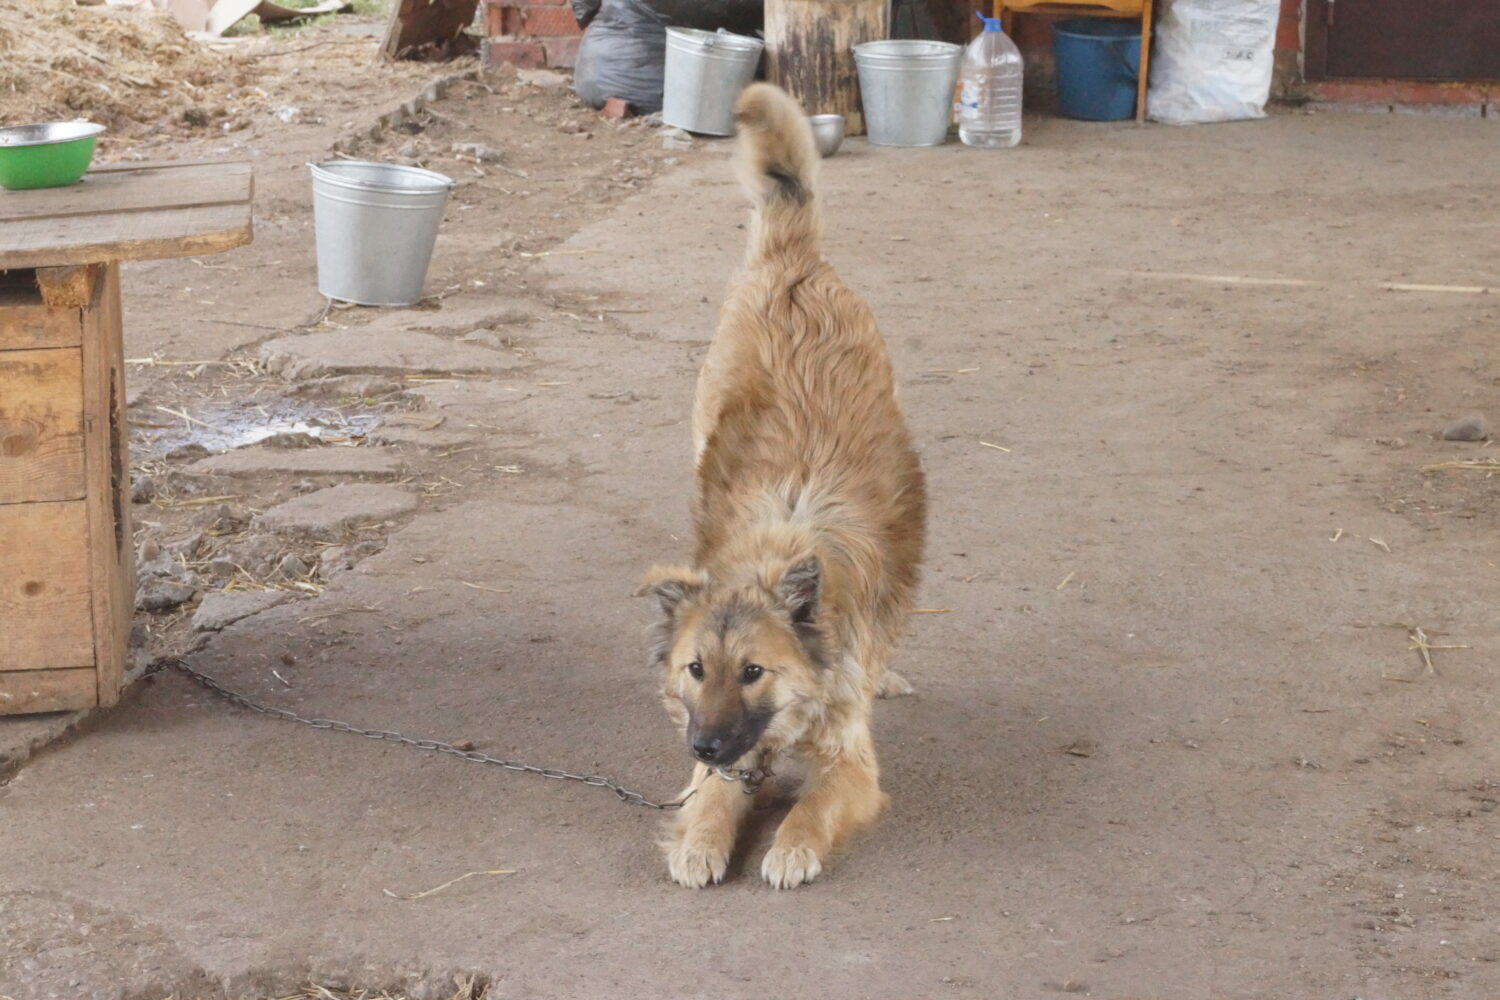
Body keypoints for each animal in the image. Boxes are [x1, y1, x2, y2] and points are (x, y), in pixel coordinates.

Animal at [636, 82, 918, 887]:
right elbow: (711, 799)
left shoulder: (853, 762)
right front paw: (701, 841)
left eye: (753, 671)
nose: (700, 745)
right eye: (696, 669)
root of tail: (793, 263)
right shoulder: (725, 762)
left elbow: (813, 805)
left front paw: (790, 846)